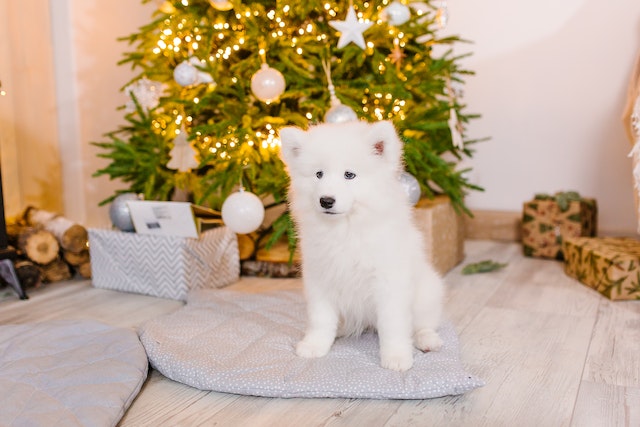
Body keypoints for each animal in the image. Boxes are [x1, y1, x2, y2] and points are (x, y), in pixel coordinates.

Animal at [280, 120, 444, 372]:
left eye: (349, 175)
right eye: (318, 174)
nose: (326, 200)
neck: (346, 228)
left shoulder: (389, 282)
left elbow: (393, 324)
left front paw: (396, 357)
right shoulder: (320, 277)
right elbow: (320, 318)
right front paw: (315, 345)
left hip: (427, 293)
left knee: (423, 323)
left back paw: (427, 340)